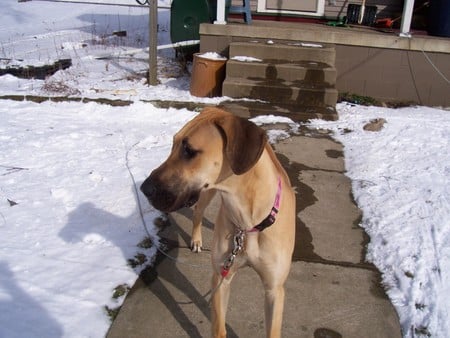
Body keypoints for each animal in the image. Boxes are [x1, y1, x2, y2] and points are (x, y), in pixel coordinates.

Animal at [141, 107, 296, 338]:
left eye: (189, 150)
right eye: (173, 144)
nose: (144, 189)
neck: (248, 221)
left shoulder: (274, 290)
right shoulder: (221, 278)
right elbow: (218, 328)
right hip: (205, 194)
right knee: (197, 212)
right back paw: (196, 239)